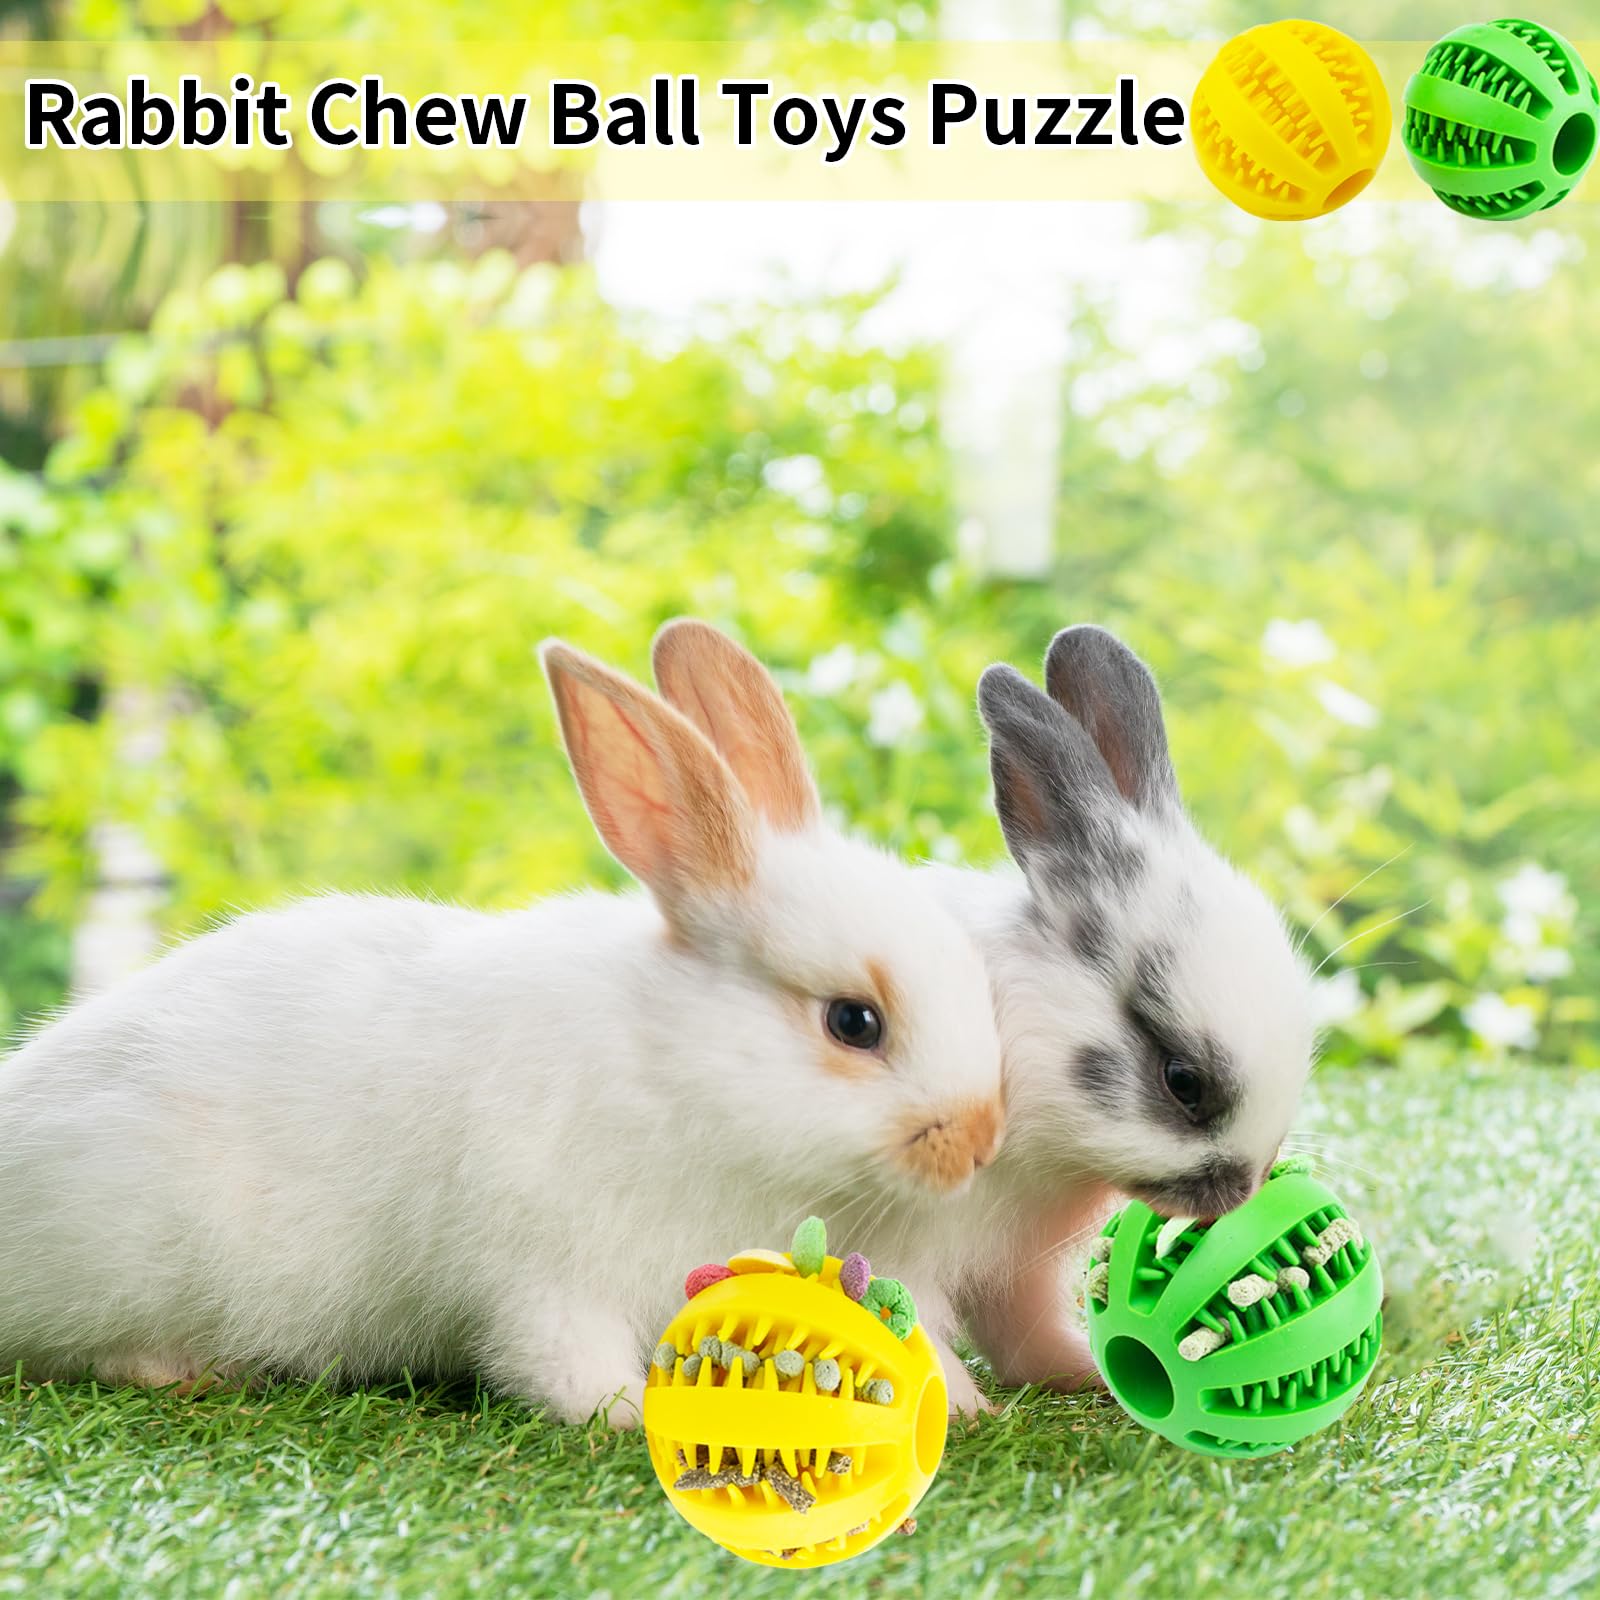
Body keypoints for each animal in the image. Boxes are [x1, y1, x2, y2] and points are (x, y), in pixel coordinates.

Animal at [0, 626, 1006, 1426]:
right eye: (854, 1022)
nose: (979, 1141)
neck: (677, 1069)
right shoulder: (550, 1273)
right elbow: (562, 1361)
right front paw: (630, 1416)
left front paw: (969, 1406)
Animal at [654, 622, 1314, 1407]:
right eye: (1182, 1079)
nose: (1241, 1193)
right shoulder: (899, 1237)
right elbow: (912, 1323)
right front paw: (965, 1409)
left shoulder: (1018, 1267)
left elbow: (1023, 1327)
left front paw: (1080, 1373)